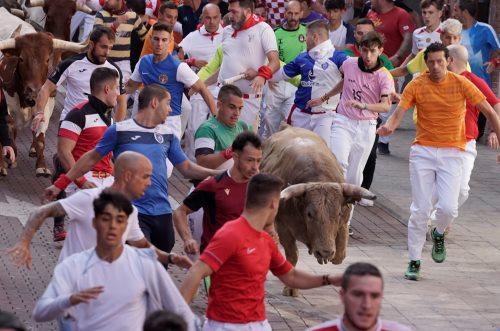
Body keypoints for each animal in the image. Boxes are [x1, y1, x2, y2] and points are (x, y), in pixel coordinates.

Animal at [0, 29, 85, 178]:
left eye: (47, 59)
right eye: (21, 59)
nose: (34, 93)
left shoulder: (46, 107)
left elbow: (40, 137)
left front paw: (42, 167)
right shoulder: (6, 107)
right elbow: (8, 128)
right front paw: (5, 162)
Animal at [262, 126, 376, 296]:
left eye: (338, 213)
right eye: (309, 214)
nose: (325, 252)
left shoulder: (343, 224)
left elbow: (340, 255)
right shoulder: (283, 227)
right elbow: (292, 255)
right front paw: (290, 288)